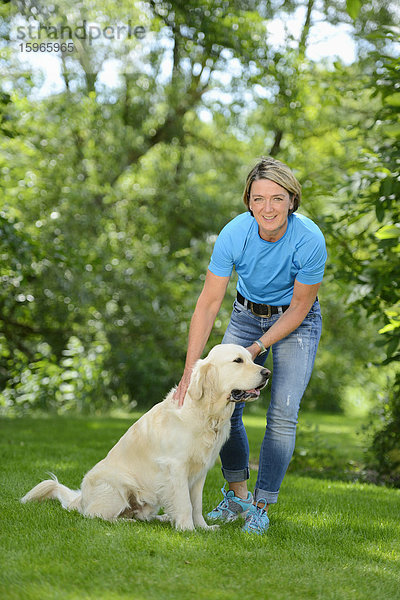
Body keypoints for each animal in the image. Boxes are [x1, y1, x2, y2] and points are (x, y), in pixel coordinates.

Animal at [21, 344, 268, 532]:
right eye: (237, 361)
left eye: (251, 358)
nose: (267, 373)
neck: (207, 415)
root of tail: (80, 499)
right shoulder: (176, 468)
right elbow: (185, 504)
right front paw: (188, 530)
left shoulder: (199, 473)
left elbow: (195, 505)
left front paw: (204, 528)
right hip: (118, 487)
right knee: (95, 516)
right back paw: (125, 521)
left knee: (141, 515)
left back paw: (162, 518)